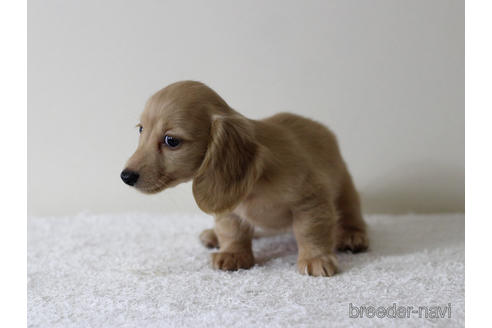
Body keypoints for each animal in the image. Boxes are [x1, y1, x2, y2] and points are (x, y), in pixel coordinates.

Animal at [121, 80, 368, 276]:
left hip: (345, 188)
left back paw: (352, 235)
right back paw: (213, 235)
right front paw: (233, 254)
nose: (125, 176)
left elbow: (311, 231)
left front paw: (315, 257)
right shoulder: (228, 208)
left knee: (349, 213)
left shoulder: (311, 200)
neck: (257, 182)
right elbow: (232, 230)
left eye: (171, 141)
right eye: (141, 129)